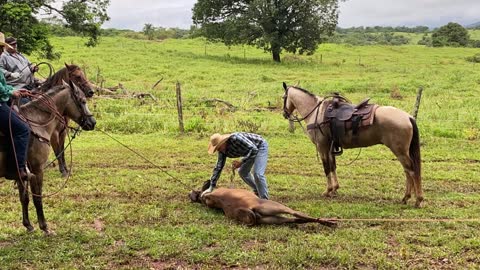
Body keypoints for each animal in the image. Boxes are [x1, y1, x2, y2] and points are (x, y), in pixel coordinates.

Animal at [0, 80, 95, 234]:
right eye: (82, 101)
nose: (93, 122)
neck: (36, 123)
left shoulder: (22, 174)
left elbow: (24, 198)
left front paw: (28, 225)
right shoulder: (37, 170)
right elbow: (37, 199)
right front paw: (45, 227)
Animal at [284, 83, 422, 208]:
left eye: (283, 97)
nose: (285, 114)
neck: (316, 112)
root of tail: (408, 117)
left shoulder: (322, 147)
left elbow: (327, 168)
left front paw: (328, 191)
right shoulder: (330, 148)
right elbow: (333, 166)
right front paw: (335, 189)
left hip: (400, 152)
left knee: (411, 171)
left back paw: (417, 200)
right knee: (407, 171)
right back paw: (406, 198)